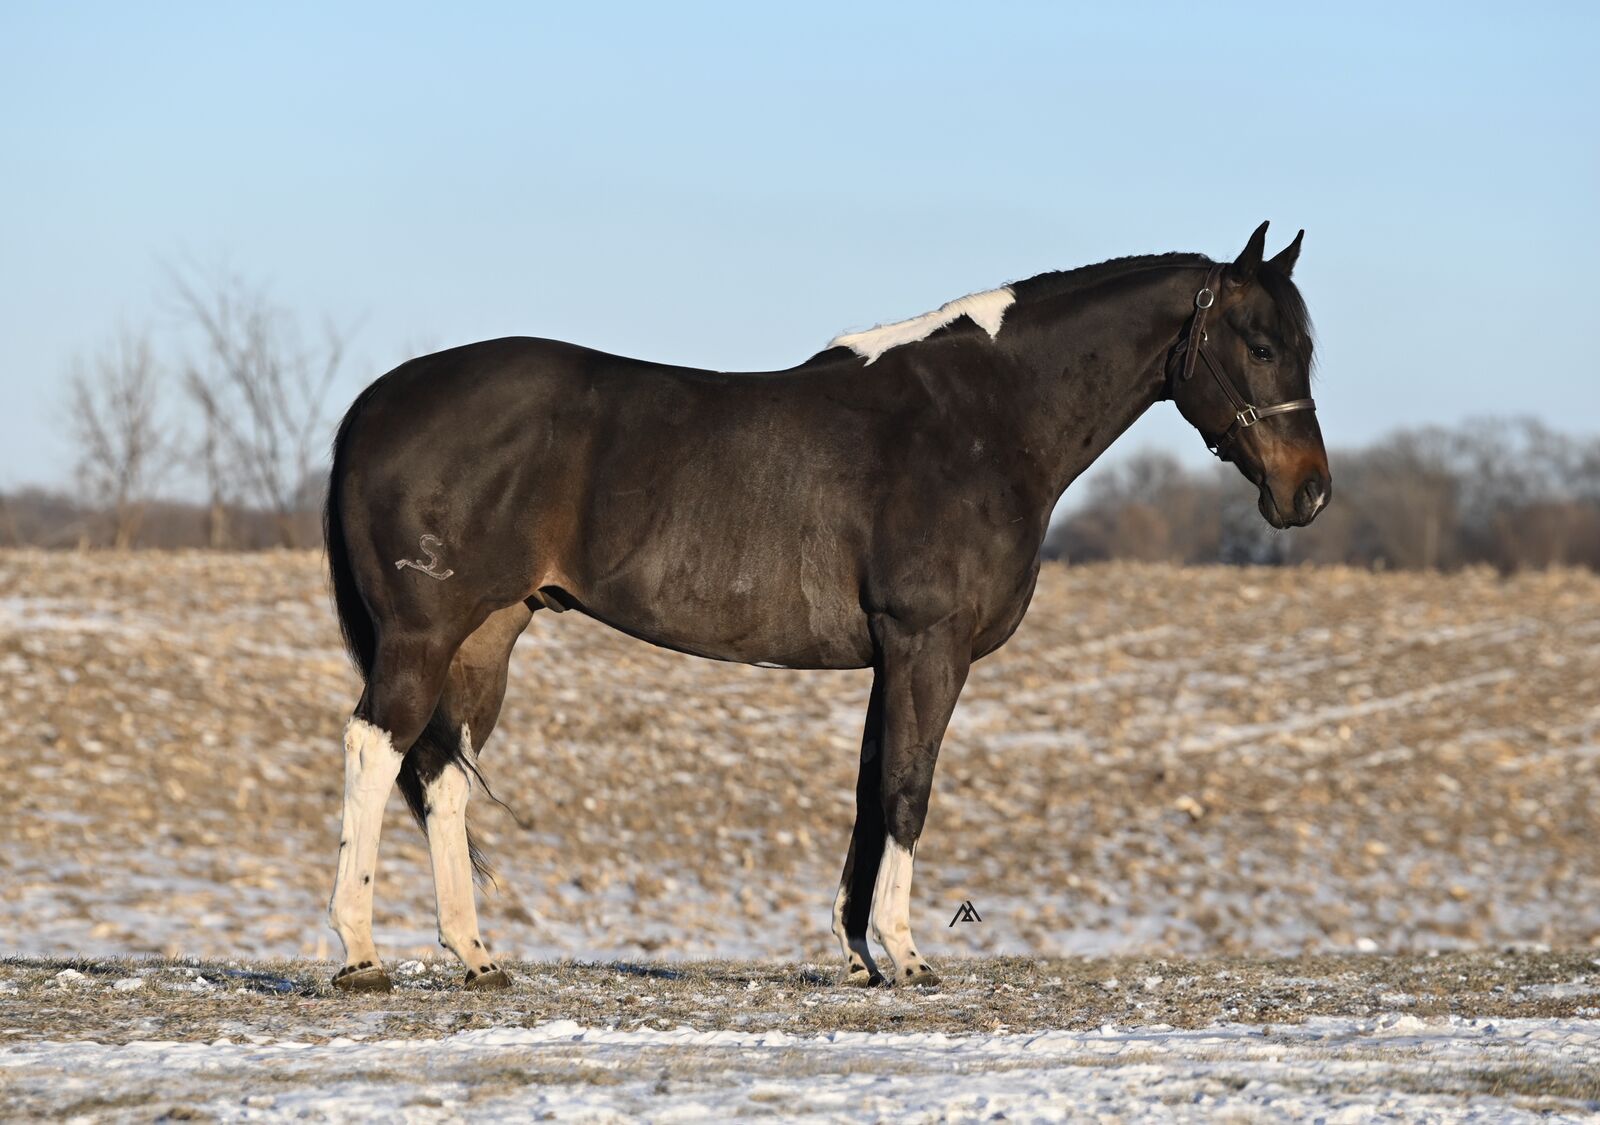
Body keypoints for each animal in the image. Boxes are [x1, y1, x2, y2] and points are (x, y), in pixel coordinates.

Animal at [322, 221, 1329, 992]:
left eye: (1305, 347)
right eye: (1261, 345)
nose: (1309, 492)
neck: (982, 418)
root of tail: (376, 401)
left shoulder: (892, 656)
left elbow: (870, 789)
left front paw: (858, 955)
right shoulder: (929, 644)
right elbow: (910, 787)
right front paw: (909, 955)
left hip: (489, 636)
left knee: (443, 775)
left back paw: (476, 955)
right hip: (423, 633)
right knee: (375, 746)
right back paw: (361, 953)